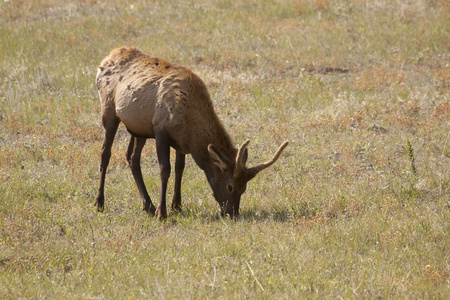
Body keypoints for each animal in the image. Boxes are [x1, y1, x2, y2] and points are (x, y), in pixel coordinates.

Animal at [96, 47, 290, 220]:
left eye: (244, 188)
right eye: (230, 186)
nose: (232, 213)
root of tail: (106, 59)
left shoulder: (181, 141)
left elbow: (179, 168)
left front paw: (176, 205)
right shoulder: (160, 130)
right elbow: (165, 169)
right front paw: (162, 212)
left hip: (138, 128)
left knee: (132, 158)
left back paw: (147, 205)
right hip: (109, 110)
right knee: (105, 153)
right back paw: (100, 203)